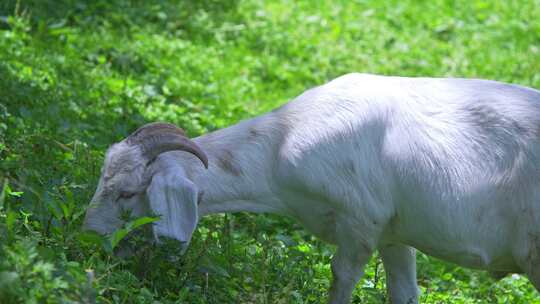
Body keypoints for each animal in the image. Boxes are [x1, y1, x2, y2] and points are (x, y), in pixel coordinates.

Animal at [83, 74, 540, 304]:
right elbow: (404, 291)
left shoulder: (361, 221)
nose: (88, 235)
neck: (281, 142)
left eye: (127, 193)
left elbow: (341, 278)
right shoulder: (394, 230)